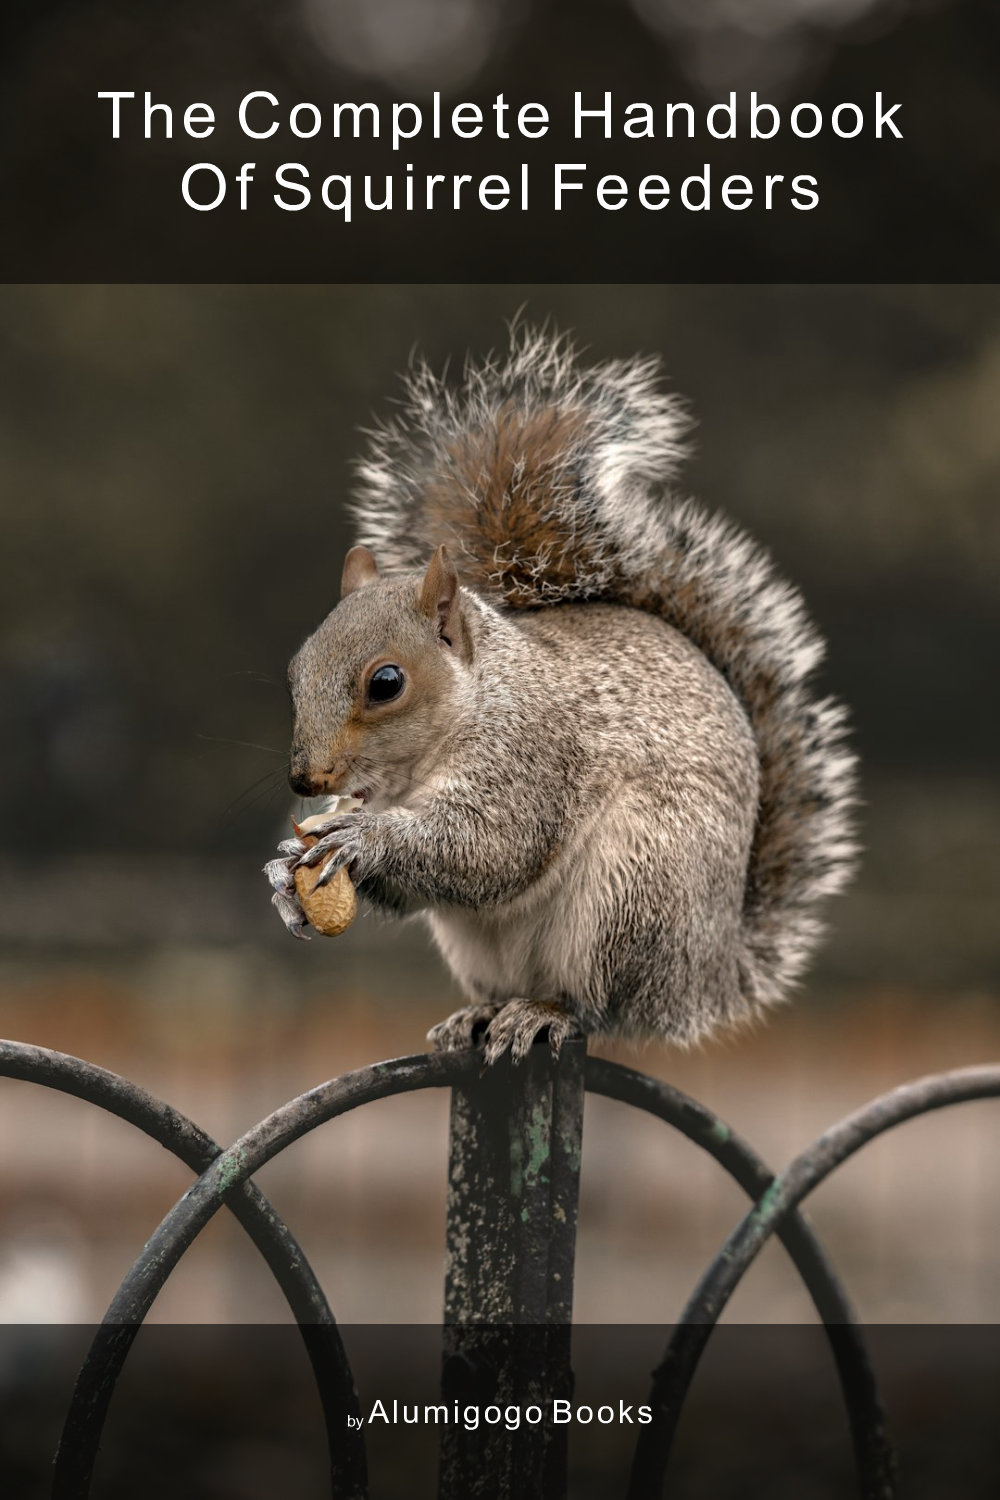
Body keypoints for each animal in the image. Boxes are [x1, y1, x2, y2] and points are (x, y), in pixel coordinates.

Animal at [265, 326, 857, 1065]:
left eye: (386, 683)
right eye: (296, 668)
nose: (305, 780)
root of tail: (708, 977)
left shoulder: (533, 755)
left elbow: (490, 845)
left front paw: (361, 836)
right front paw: (285, 872)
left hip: (633, 893)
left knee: (600, 1005)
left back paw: (546, 1013)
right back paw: (479, 1014)